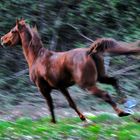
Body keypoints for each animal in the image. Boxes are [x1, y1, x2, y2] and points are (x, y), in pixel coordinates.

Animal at [1, 18, 138, 122]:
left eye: (13, 31)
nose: (2, 39)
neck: (36, 58)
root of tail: (89, 52)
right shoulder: (62, 87)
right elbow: (71, 103)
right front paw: (83, 118)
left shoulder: (43, 88)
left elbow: (50, 105)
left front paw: (53, 123)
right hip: (100, 77)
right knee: (114, 81)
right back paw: (127, 103)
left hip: (87, 84)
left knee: (105, 94)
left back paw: (122, 112)